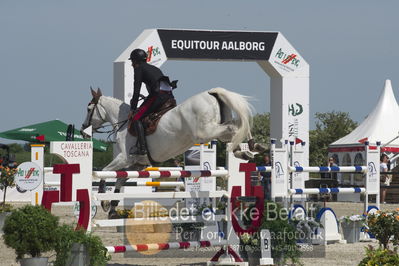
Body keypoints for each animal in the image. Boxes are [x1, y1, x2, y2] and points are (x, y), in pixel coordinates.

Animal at [81, 88, 262, 217]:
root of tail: (211, 93)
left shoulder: (124, 158)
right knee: (237, 125)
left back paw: (248, 149)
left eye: (89, 108)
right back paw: (250, 149)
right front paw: (112, 208)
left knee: (234, 127)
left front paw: (103, 200)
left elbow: (105, 172)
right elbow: (119, 180)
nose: (83, 130)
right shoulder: (137, 164)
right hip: (216, 128)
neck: (124, 122)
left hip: (206, 131)